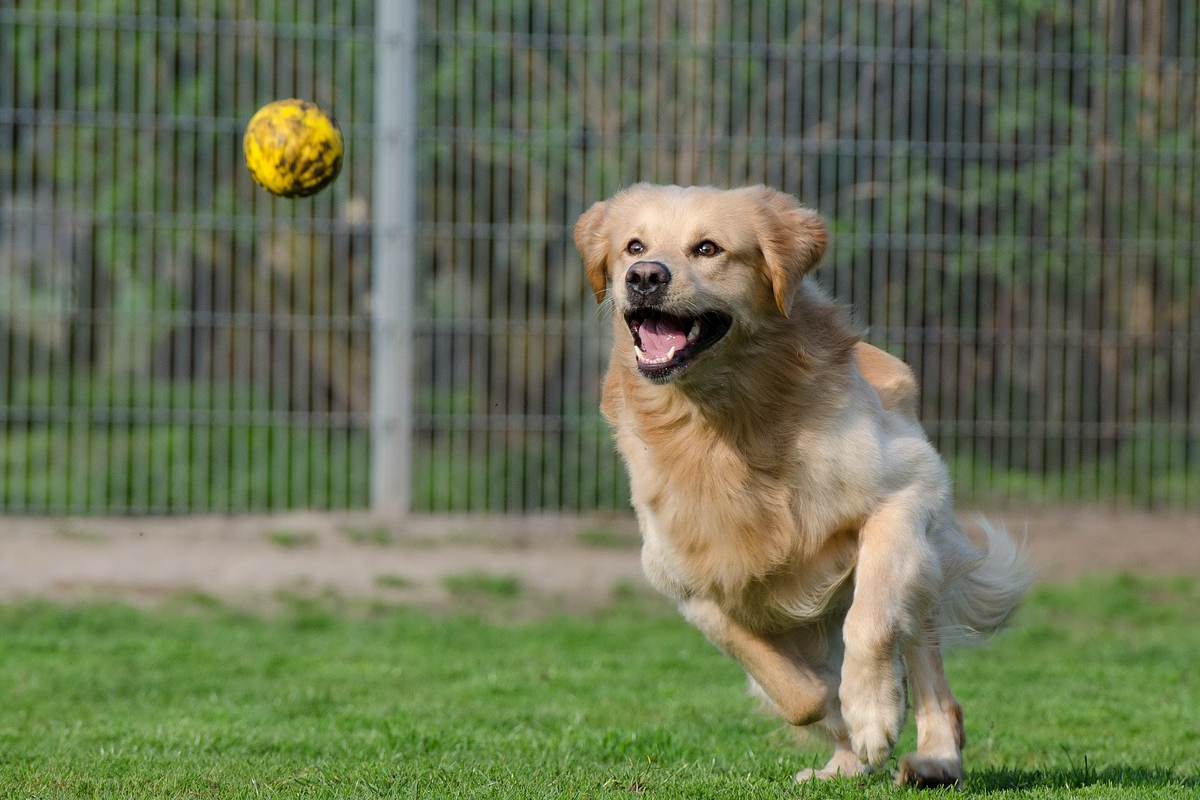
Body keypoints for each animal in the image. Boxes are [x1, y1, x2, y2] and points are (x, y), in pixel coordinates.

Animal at [573, 184, 1032, 791]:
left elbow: (871, 620)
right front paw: (846, 723)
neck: (723, 423)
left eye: (707, 248)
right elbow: (796, 692)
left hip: (922, 563)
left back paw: (934, 758)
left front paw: (873, 711)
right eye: (634, 246)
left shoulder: (907, 493)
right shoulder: (688, 583)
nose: (645, 276)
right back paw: (841, 763)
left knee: (927, 670)